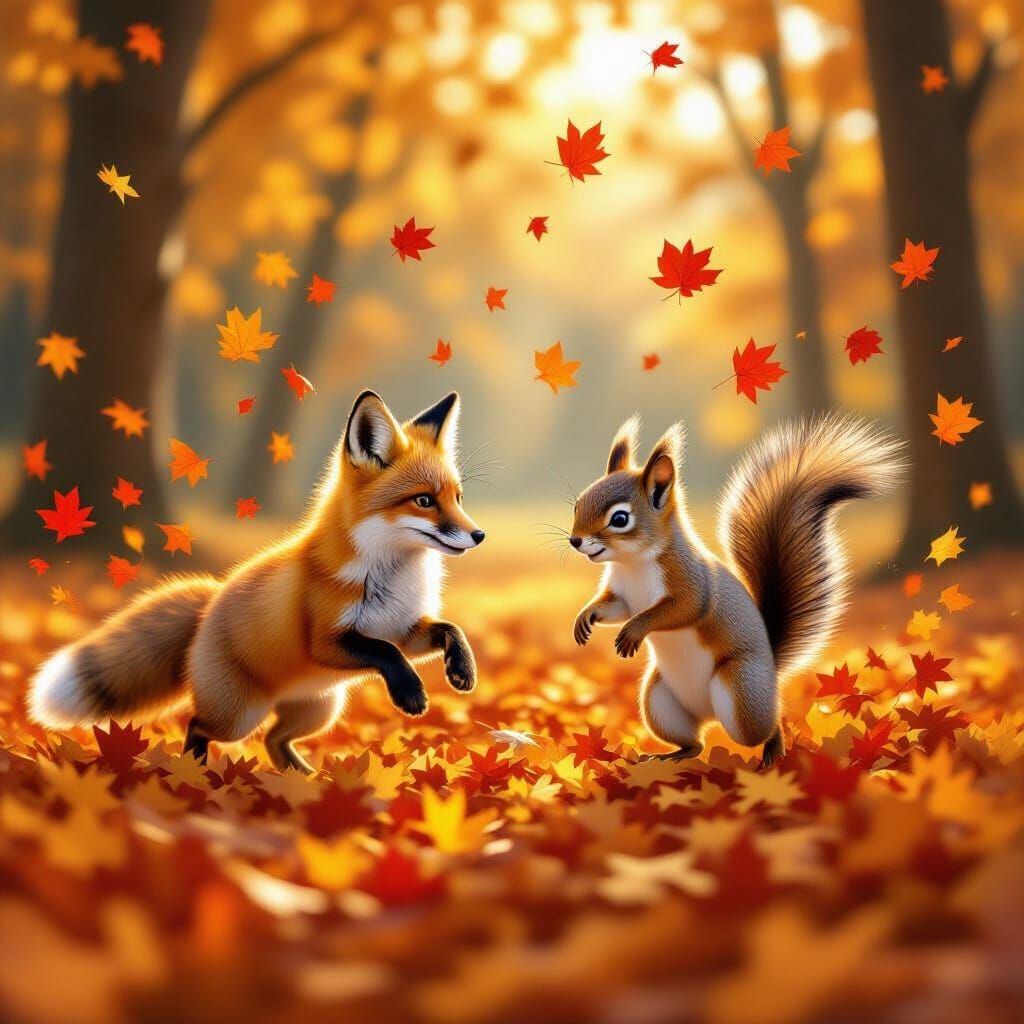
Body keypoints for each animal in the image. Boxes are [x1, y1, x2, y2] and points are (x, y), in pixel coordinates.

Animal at [29, 390, 485, 774]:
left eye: (458, 498)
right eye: (424, 500)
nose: (478, 535)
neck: (392, 575)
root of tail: (209, 605)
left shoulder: (405, 627)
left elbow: (448, 630)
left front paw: (462, 669)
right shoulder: (325, 641)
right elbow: (386, 652)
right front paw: (410, 692)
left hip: (318, 710)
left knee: (274, 741)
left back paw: (305, 779)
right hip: (239, 716)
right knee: (198, 725)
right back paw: (197, 772)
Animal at [569, 413, 903, 768]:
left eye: (620, 518)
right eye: (578, 504)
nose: (575, 540)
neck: (632, 563)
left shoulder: (691, 581)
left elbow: (680, 608)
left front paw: (634, 631)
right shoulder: (622, 594)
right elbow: (615, 608)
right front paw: (585, 617)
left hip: (741, 690)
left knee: (764, 728)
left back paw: (773, 752)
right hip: (659, 702)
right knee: (695, 744)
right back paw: (668, 756)